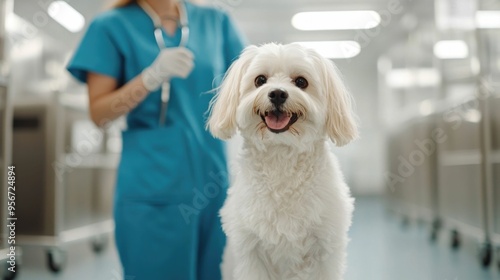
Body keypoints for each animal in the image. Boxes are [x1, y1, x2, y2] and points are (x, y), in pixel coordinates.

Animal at [209, 42, 358, 278]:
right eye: (260, 80)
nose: (278, 93)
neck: (281, 160)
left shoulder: (324, 250)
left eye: (301, 82)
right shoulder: (251, 252)